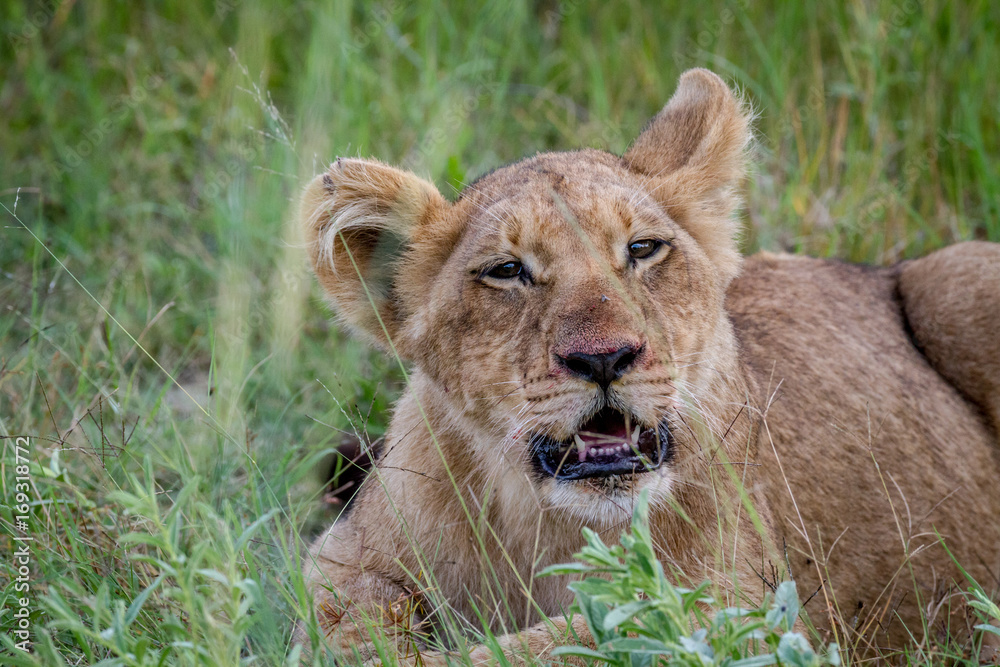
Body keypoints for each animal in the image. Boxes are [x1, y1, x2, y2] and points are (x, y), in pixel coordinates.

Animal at [297, 68, 1000, 664]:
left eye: (641, 249)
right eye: (507, 270)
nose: (604, 357)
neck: (548, 525)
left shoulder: (740, 610)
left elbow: (569, 643)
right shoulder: (342, 559)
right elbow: (351, 625)